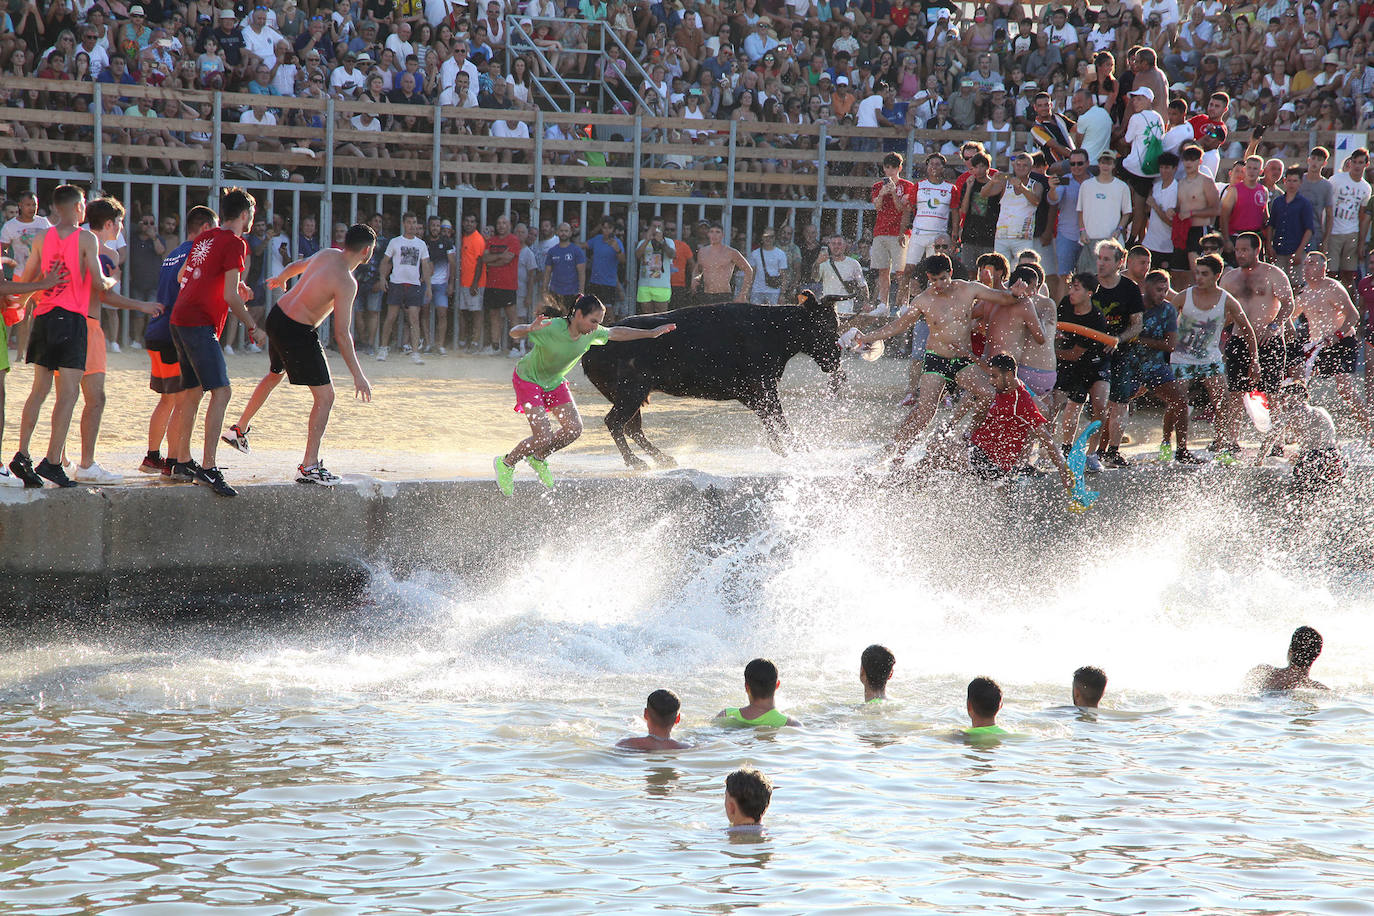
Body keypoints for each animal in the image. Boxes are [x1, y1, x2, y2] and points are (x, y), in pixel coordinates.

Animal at [577, 295, 840, 469]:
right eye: (827, 325)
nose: (836, 360)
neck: (774, 329)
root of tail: (591, 349)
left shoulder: (750, 390)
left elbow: (767, 414)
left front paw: (781, 447)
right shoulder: (762, 383)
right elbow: (777, 414)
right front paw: (796, 446)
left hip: (632, 394)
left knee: (632, 427)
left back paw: (663, 458)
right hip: (632, 391)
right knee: (615, 422)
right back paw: (636, 461)